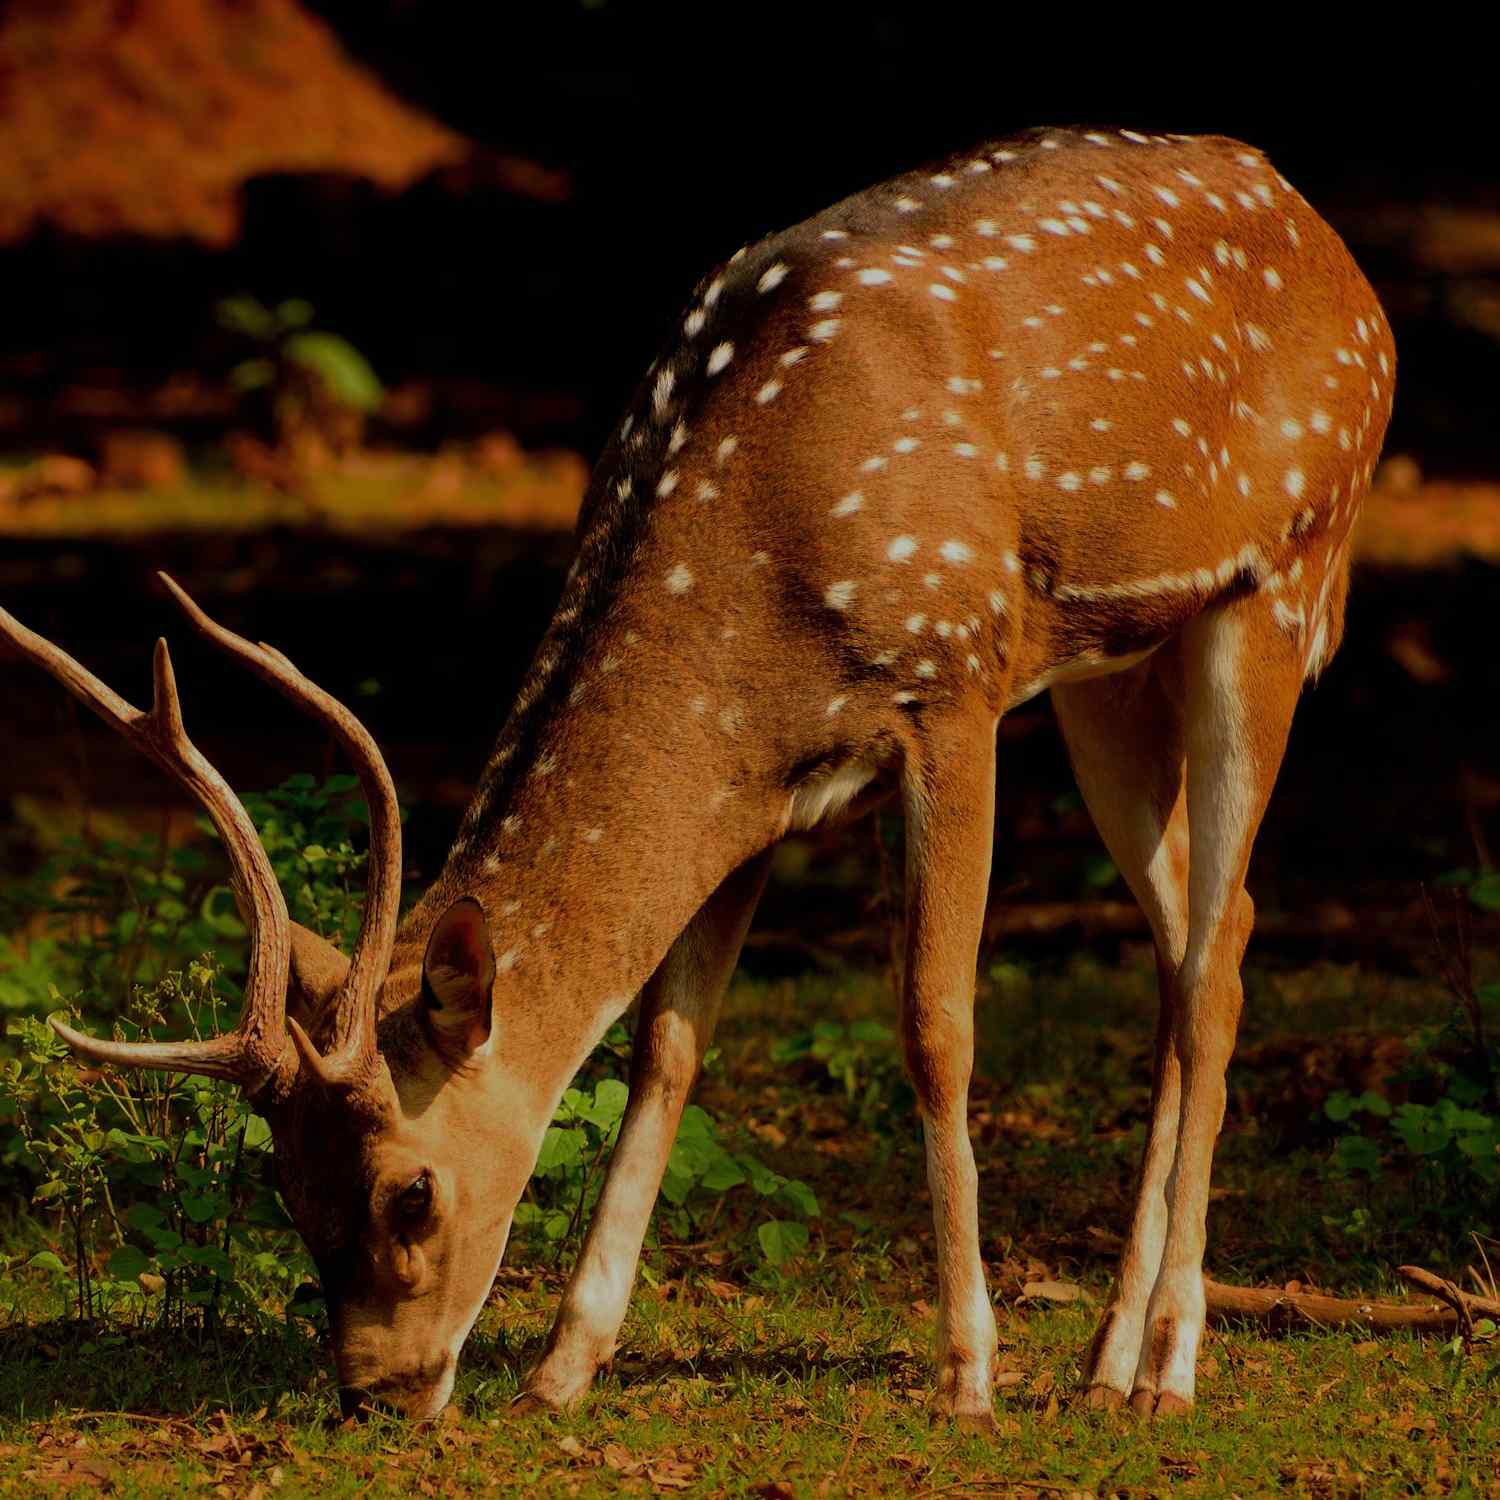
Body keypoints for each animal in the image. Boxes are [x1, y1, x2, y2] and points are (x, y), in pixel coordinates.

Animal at [2, 126, 1392, 1416]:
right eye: (284, 1181)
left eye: (412, 1192)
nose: (376, 1393)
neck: (756, 586)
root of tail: (1338, 255)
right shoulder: (763, 790)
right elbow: (666, 1043)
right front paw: (563, 1365)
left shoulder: (955, 684)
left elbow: (935, 1023)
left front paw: (968, 1373)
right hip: (1112, 668)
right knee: (1202, 937)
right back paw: (1104, 1361)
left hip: (1282, 580)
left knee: (1216, 966)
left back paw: (1168, 1364)